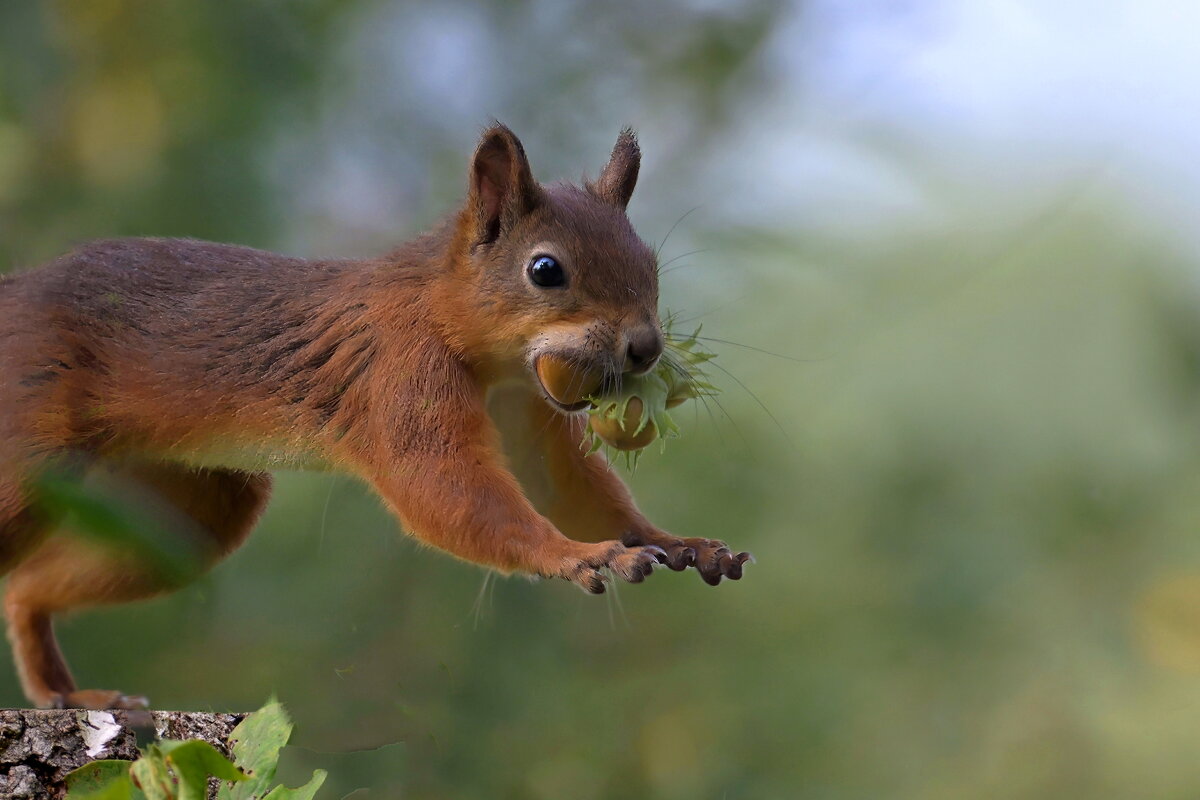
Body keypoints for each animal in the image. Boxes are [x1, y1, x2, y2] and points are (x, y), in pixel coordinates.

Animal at [0, 125, 748, 705]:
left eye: (650, 263)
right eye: (545, 270)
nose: (647, 349)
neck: (473, 344)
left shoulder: (529, 418)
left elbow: (571, 490)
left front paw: (677, 542)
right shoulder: (402, 376)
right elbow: (443, 487)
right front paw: (575, 555)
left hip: (188, 507)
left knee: (28, 592)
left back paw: (66, 693)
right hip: (31, 451)